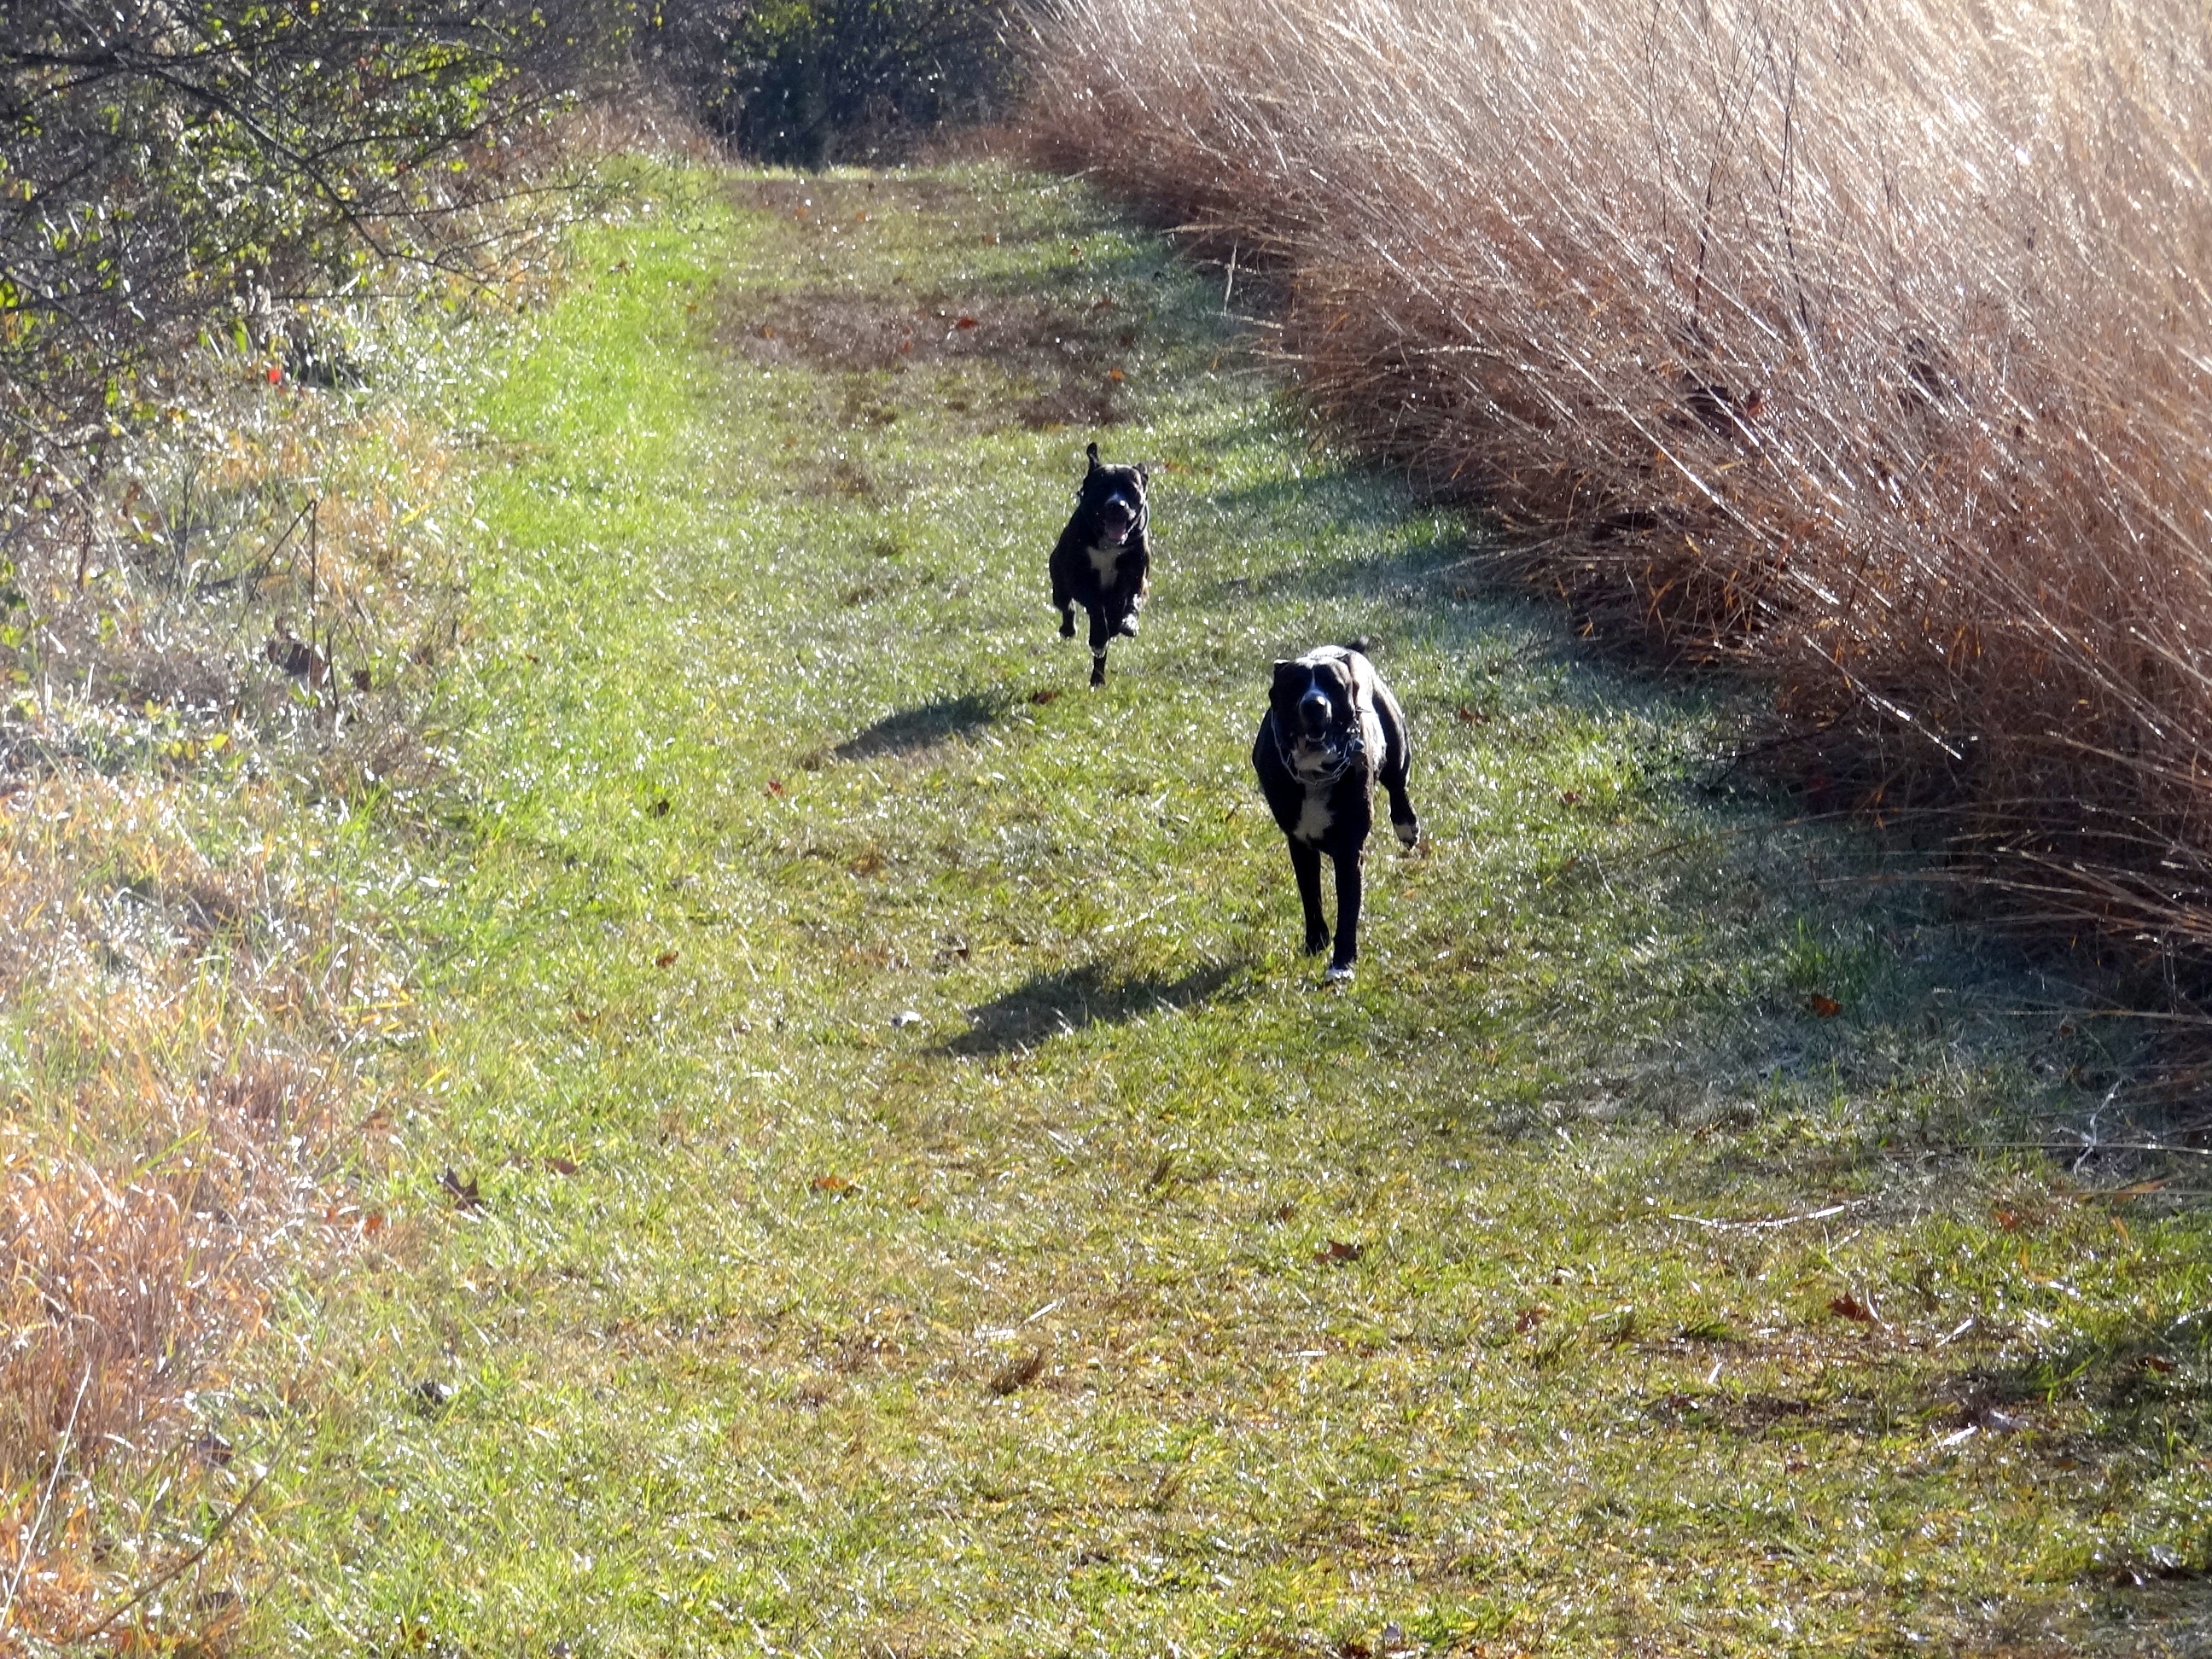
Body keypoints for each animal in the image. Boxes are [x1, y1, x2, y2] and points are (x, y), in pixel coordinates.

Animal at [1049, 441, 1150, 687]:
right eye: (1102, 487)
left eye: (1131, 488)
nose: (1117, 505)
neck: (1108, 545)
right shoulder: (1079, 579)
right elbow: (1094, 608)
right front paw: (1098, 634)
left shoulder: (1138, 578)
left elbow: (1133, 600)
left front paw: (1129, 623)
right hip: (1059, 583)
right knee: (1067, 607)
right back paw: (1070, 629)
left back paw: (1098, 678)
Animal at [1251, 644, 1419, 980]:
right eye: (1295, 685)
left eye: (1333, 685)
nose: (1314, 704)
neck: (1314, 774)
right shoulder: (1300, 845)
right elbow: (1311, 896)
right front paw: (1316, 941)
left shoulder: (1349, 852)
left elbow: (1348, 909)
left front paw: (1342, 962)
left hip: (1397, 745)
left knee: (1397, 784)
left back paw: (1406, 826)